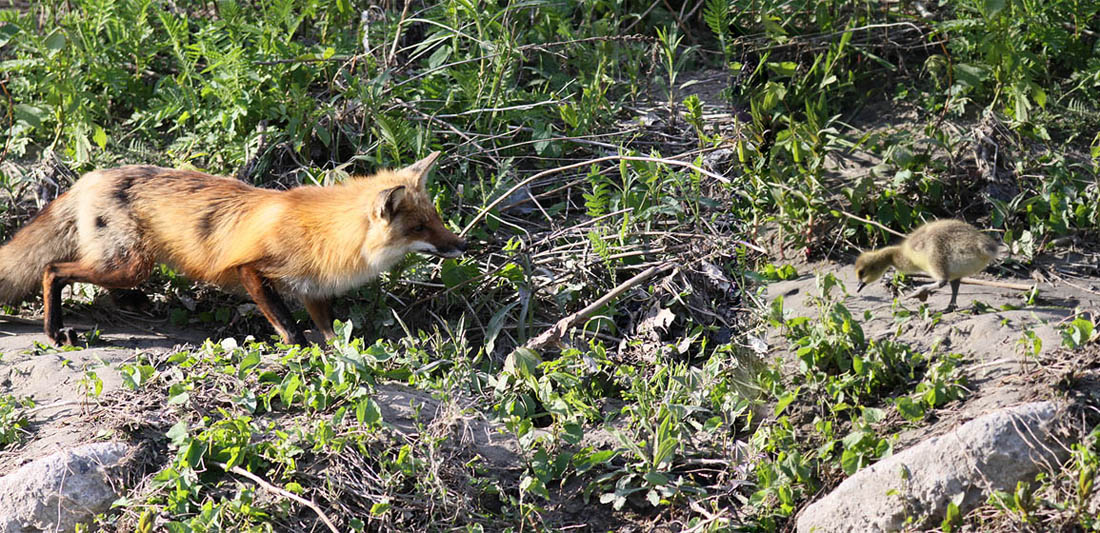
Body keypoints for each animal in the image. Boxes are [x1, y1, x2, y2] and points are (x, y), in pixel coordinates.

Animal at [0, 151, 468, 347]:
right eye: (420, 227)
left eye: (437, 219)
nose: (463, 245)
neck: (332, 235)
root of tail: (90, 176)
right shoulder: (253, 270)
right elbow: (288, 325)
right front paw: (298, 350)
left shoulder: (314, 290)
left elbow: (331, 332)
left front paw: (340, 355)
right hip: (130, 264)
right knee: (53, 270)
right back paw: (55, 331)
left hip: (127, 264)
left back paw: (134, 304)